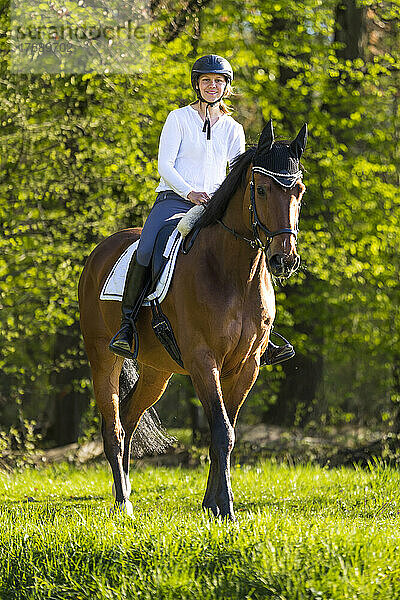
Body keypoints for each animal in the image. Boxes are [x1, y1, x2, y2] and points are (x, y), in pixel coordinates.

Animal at [79, 119, 310, 516]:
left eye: (299, 191)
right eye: (261, 189)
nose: (285, 259)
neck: (234, 273)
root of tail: (99, 252)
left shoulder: (246, 366)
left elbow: (228, 430)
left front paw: (212, 504)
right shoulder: (204, 360)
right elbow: (221, 429)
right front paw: (226, 507)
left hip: (157, 371)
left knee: (129, 418)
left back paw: (126, 490)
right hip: (102, 358)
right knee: (114, 428)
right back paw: (123, 502)